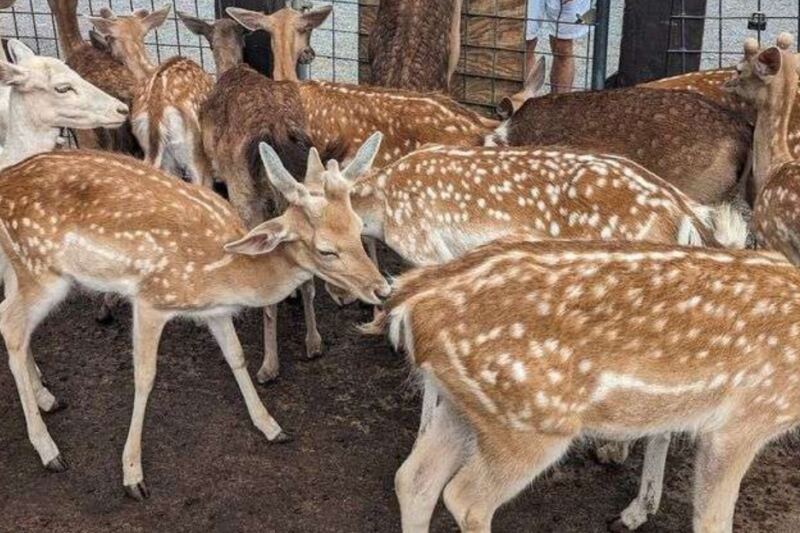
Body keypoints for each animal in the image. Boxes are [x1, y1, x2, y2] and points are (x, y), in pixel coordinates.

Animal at [0, 135, 390, 500]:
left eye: (358, 227)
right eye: (326, 250)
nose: (382, 289)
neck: (227, 272)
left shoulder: (213, 311)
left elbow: (236, 357)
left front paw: (271, 426)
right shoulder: (152, 299)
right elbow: (145, 378)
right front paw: (132, 475)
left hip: (27, 270)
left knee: (12, 317)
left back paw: (47, 397)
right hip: (41, 270)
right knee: (12, 326)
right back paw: (49, 450)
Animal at [364, 237, 800, 533]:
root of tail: (411, 300)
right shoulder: (744, 420)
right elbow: (713, 519)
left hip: (470, 406)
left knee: (414, 479)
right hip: (531, 424)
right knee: (465, 499)